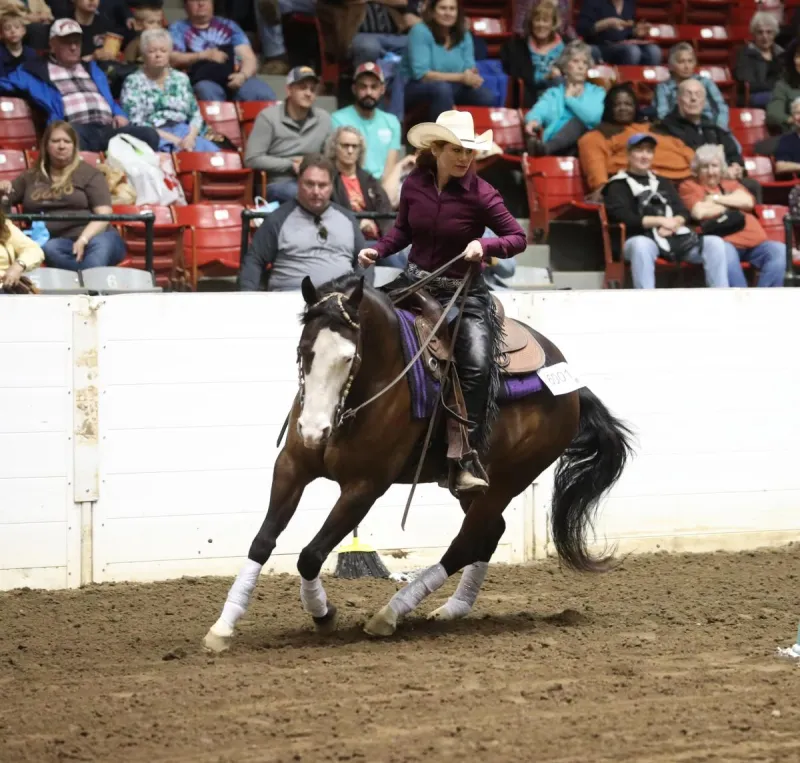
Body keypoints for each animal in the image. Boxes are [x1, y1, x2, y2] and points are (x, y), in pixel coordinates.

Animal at [202, 272, 634, 651]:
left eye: (349, 357)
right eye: (302, 351)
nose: (313, 430)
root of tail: (573, 387)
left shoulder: (364, 487)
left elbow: (310, 555)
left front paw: (324, 614)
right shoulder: (292, 467)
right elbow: (262, 541)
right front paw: (224, 625)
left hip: (510, 479)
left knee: (465, 542)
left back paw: (390, 614)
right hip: (472, 486)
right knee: (488, 533)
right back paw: (453, 608)